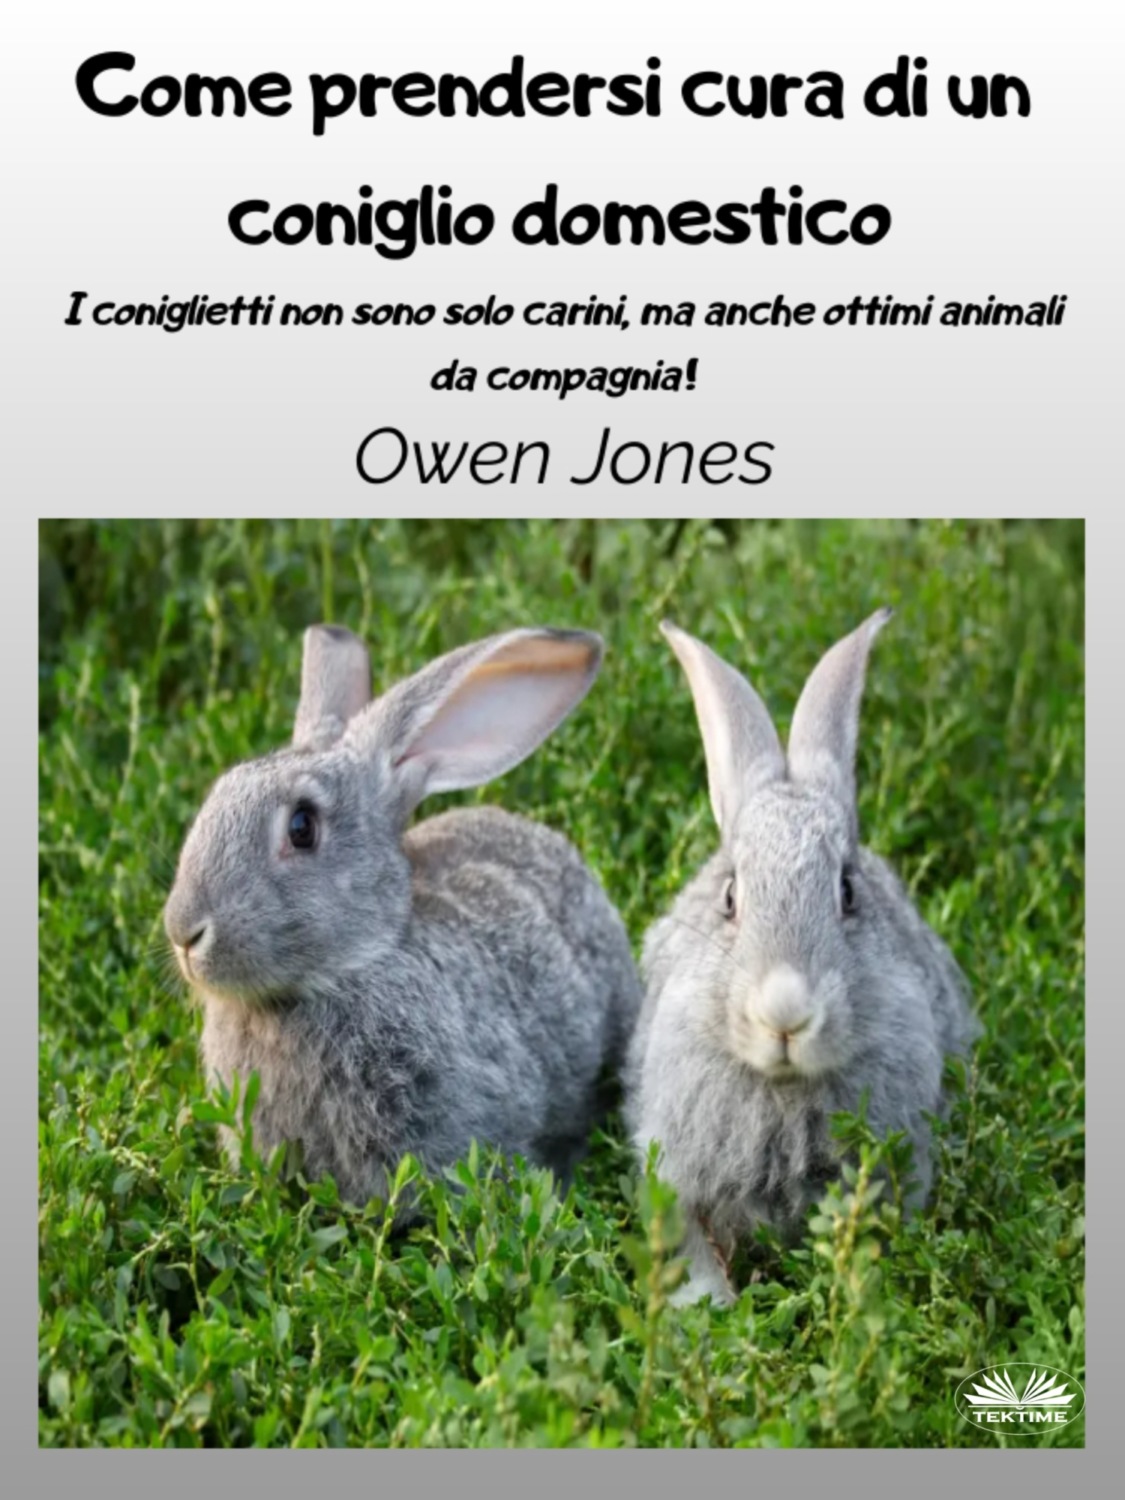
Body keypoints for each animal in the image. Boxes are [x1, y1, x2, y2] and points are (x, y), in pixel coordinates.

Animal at [625, 609, 978, 1305]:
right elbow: (690, 1247)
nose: (785, 1013)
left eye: (847, 891)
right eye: (731, 897)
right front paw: (708, 1307)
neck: (783, 1088)